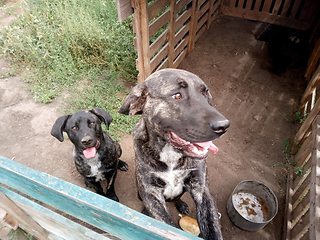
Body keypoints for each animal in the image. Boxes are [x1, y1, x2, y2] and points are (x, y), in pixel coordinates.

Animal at [119, 68, 229, 239]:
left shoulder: (202, 190)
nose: (223, 126)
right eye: (177, 95)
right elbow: (166, 225)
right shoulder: (151, 193)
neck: (171, 154)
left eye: (205, 93)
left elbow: (213, 228)